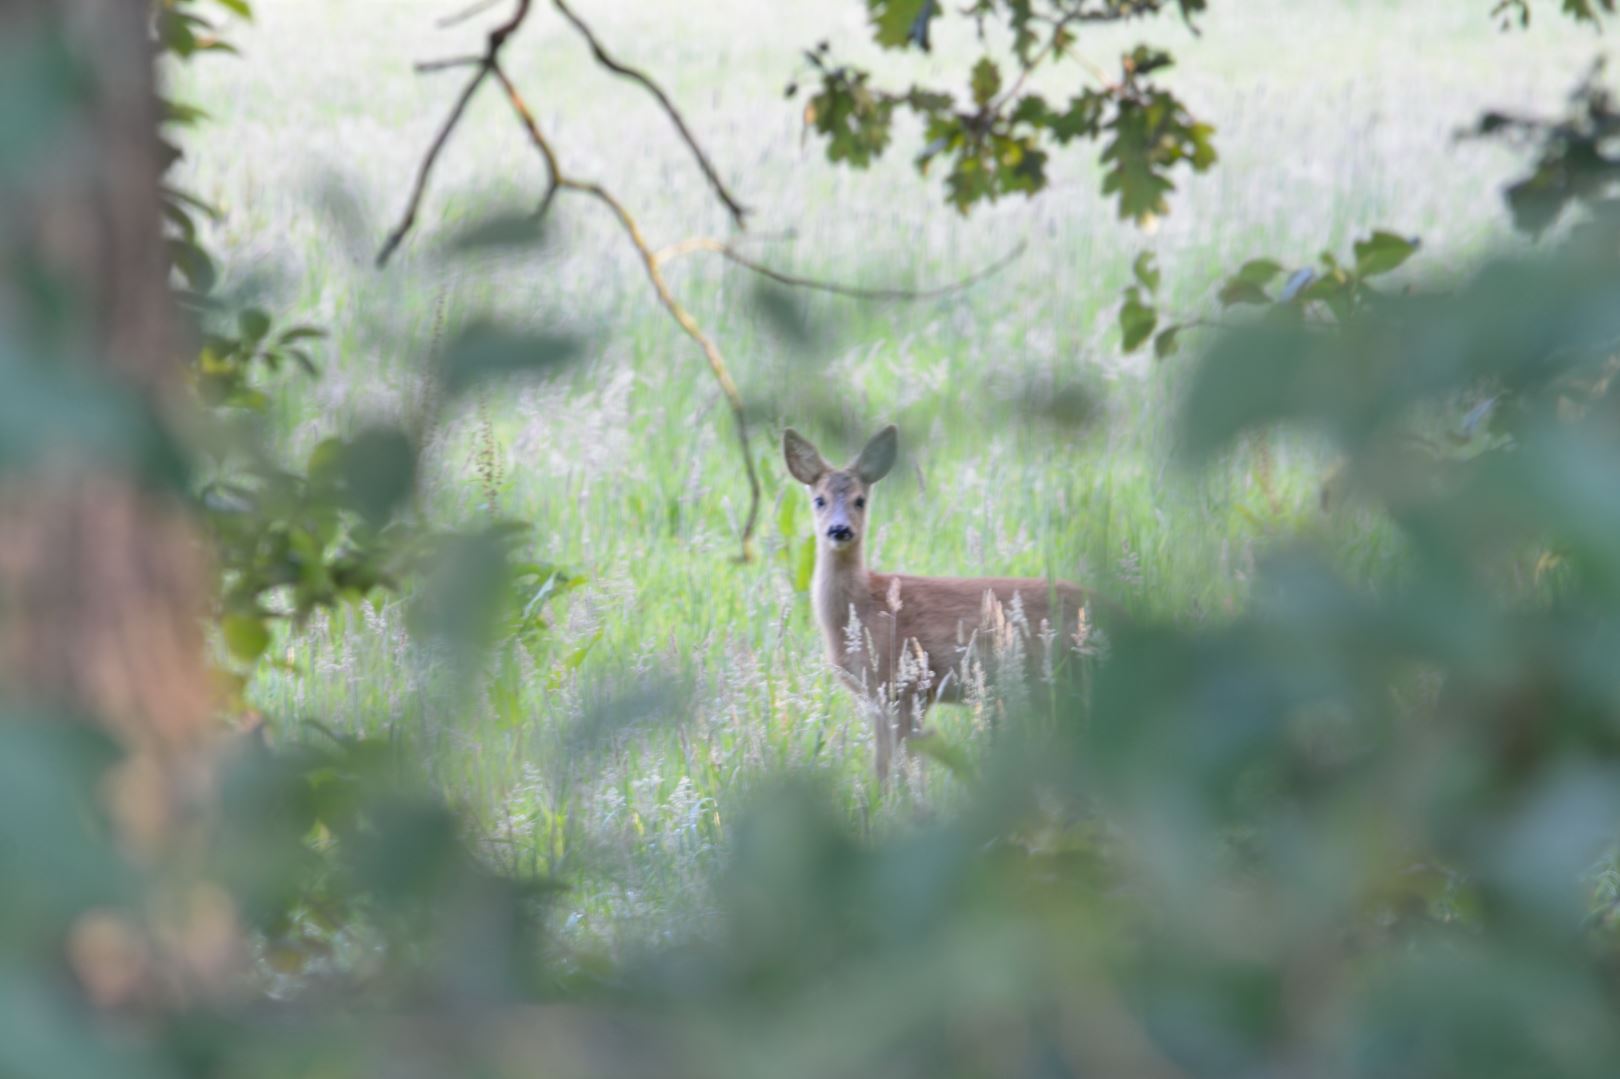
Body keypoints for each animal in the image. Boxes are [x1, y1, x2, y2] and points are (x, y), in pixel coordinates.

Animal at [780, 421, 1088, 780]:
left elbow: (902, 766)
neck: (862, 608)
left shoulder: (907, 684)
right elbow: (884, 766)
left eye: (860, 500)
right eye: (819, 499)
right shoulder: (883, 696)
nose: (839, 530)